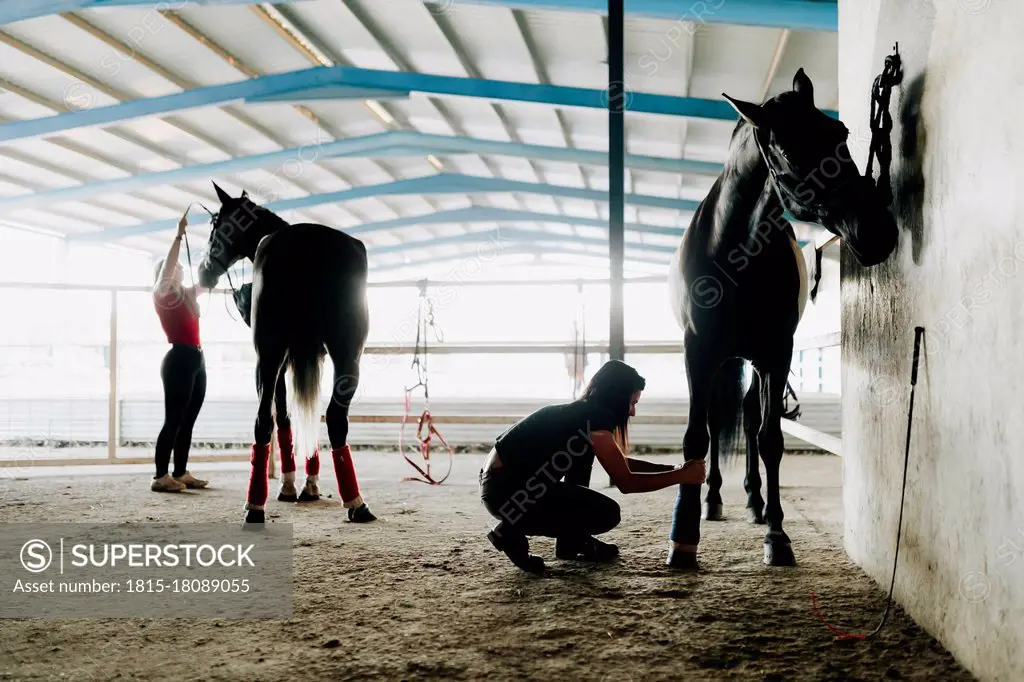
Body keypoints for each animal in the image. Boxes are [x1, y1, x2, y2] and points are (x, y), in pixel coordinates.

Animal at [663, 70, 897, 569]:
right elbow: (696, 438)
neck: (734, 254)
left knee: (750, 418)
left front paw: (777, 533)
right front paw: (683, 537)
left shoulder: (776, 352)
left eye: (841, 133)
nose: (878, 231)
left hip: (754, 362)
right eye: (788, 151)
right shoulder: (698, 351)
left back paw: (753, 501)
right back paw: (714, 500)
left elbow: (770, 439)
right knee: (718, 421)